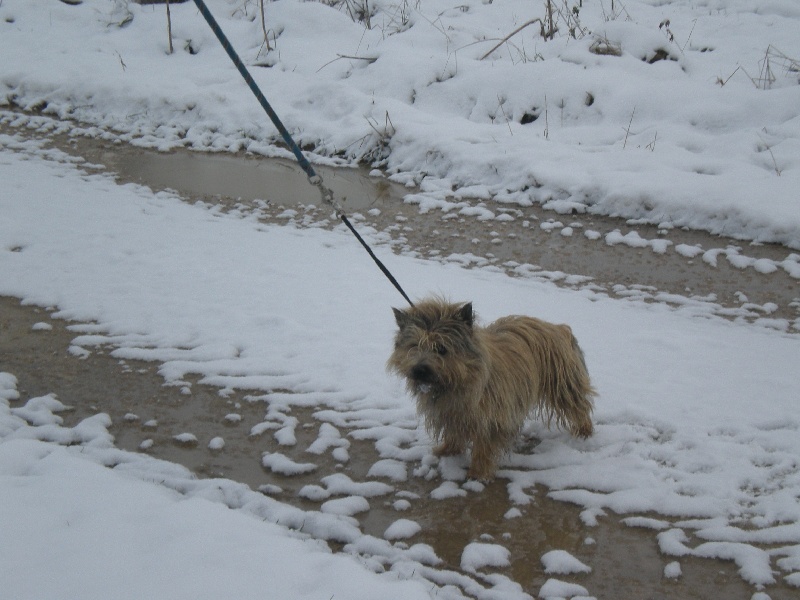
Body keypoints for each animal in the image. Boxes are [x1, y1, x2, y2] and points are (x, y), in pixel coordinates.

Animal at [388, 298, 592, 480]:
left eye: (441, 348)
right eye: (413, 346)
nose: (419, 370)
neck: (456, 383)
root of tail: (558, 328)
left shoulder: (491, 417)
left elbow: (484, 445)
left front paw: (478, 472)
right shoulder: (452, 412)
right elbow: (454, 432)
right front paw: (448, 450)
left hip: (563, 383)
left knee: (578, 407)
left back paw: (584, 432)